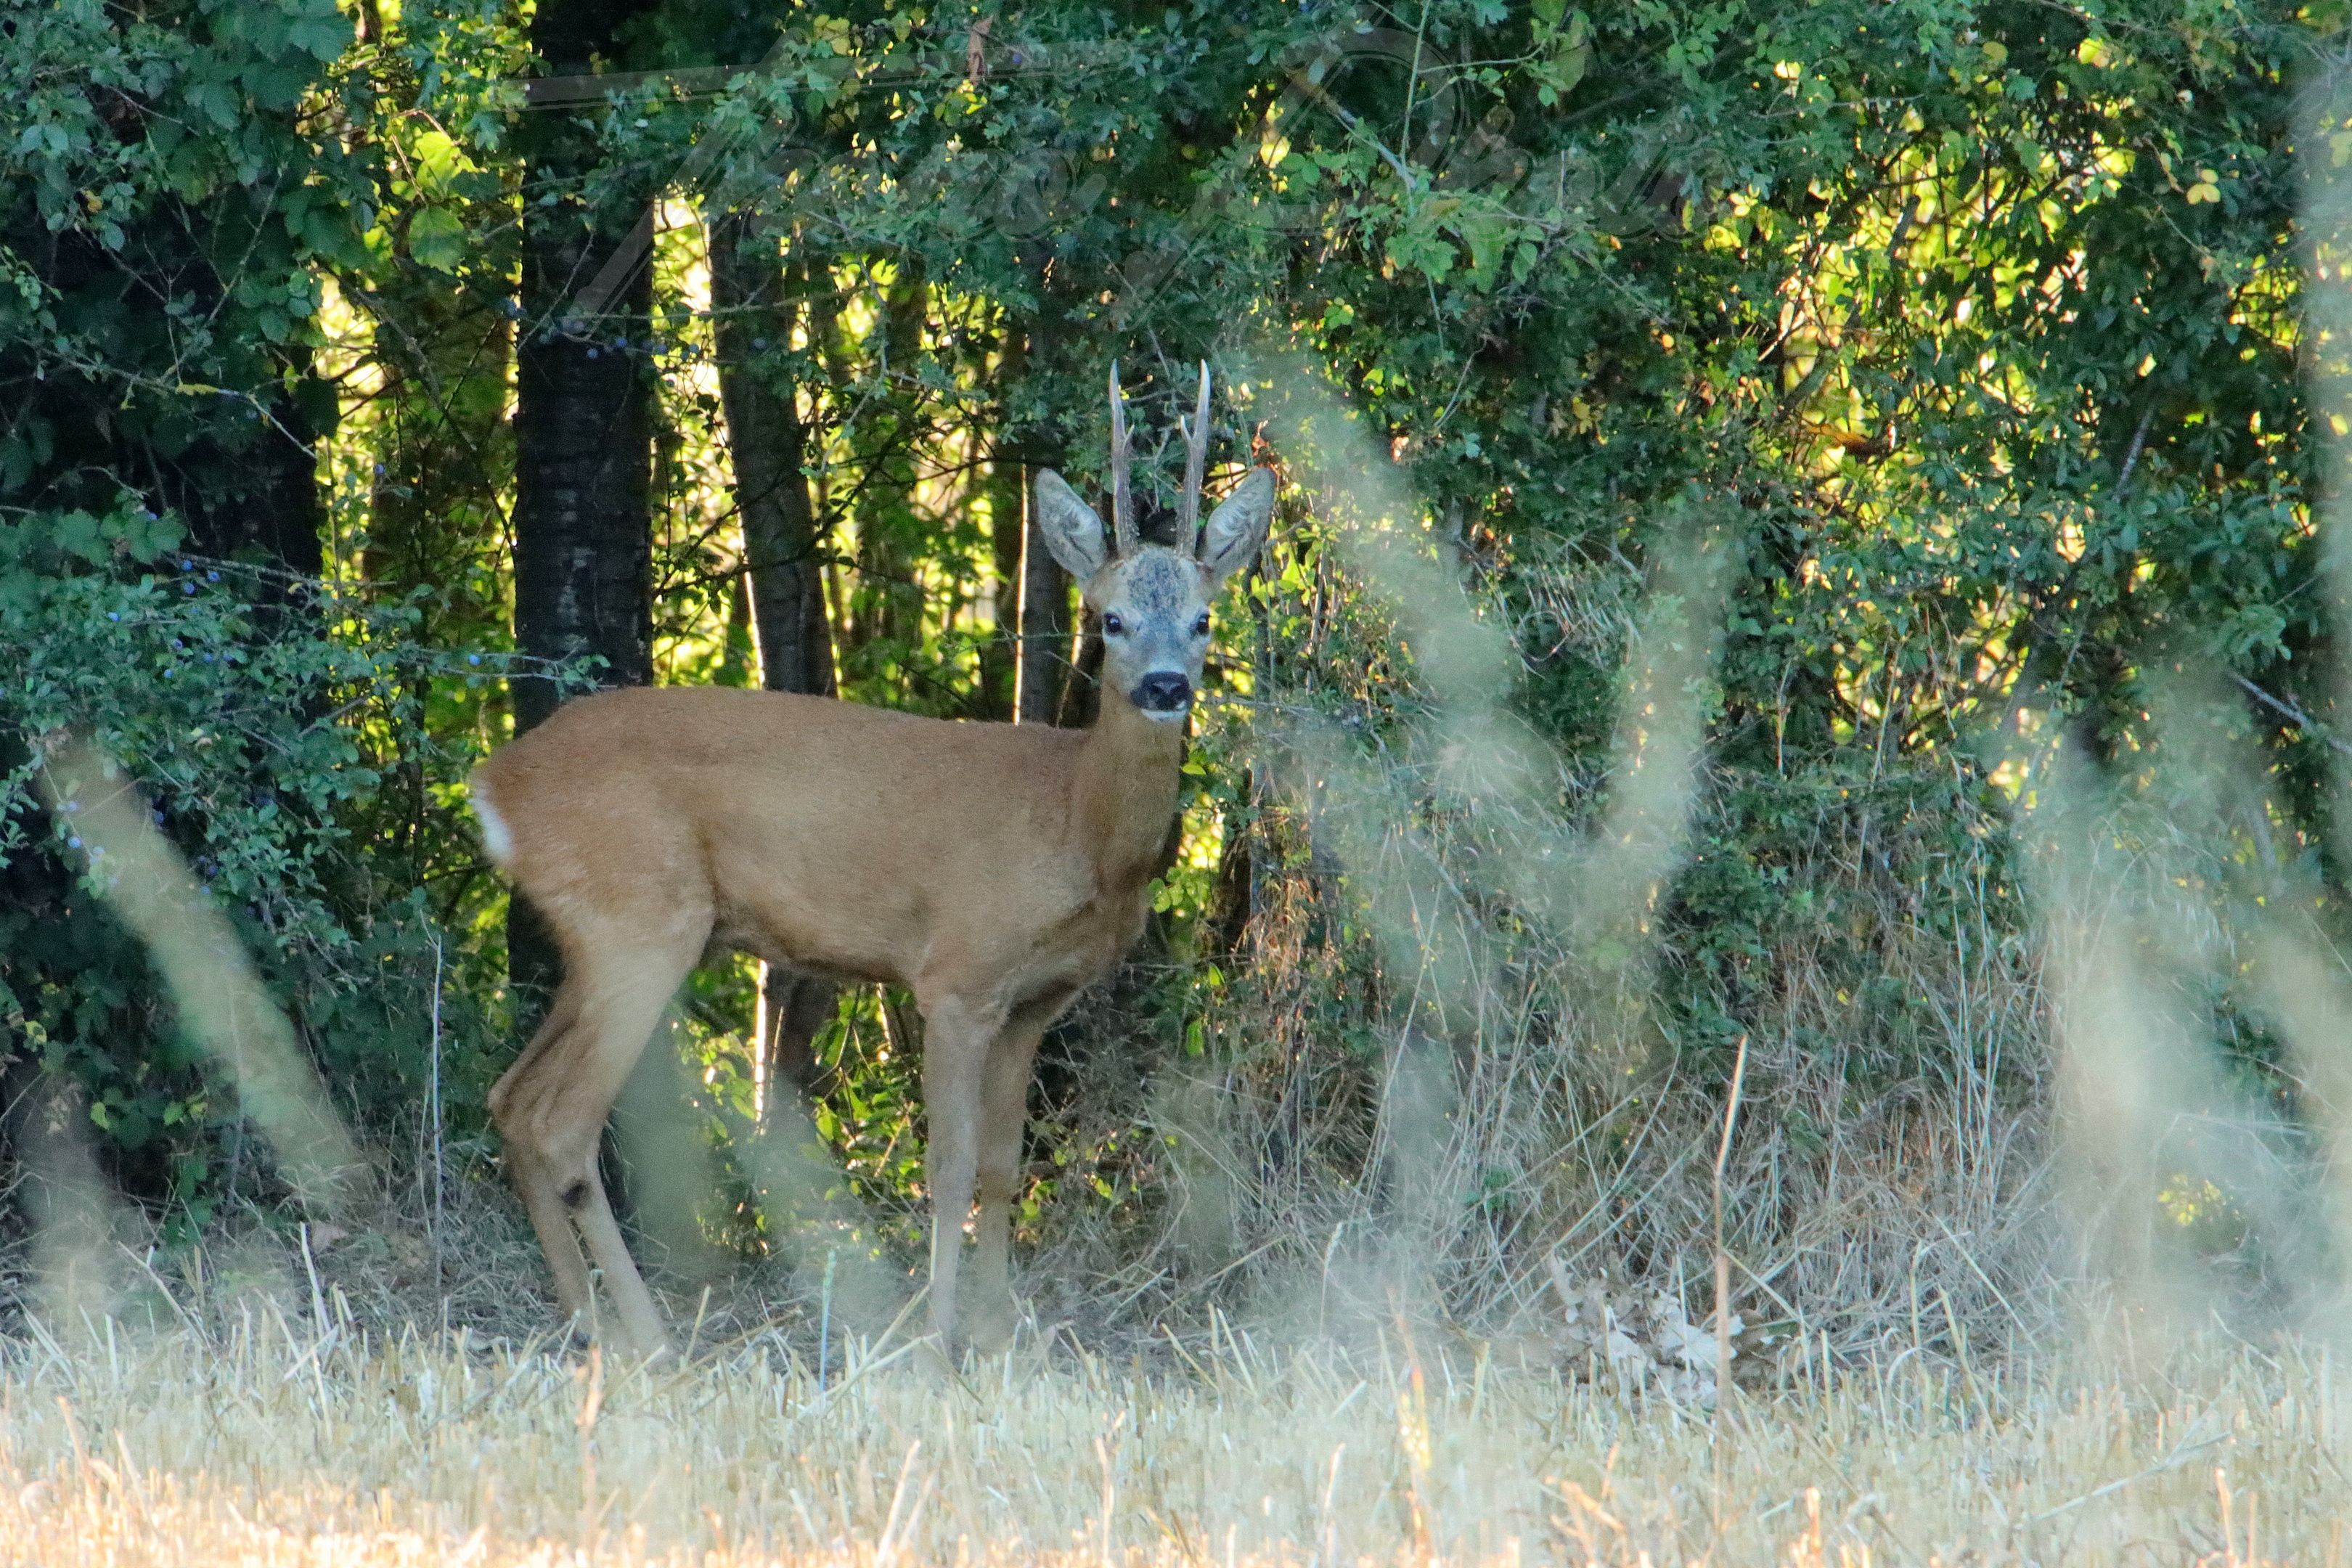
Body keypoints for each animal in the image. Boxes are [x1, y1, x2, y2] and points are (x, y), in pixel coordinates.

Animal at [470, 364, 1279, 1354]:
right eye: (1111, 618)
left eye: (1203, 620)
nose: (1165, 687)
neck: (1076, 830)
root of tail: (494, 786)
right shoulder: (956, 977)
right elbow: (950, 1167)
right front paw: (934, 1342)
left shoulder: (1035, 1003)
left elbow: (1004, 1167)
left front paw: (1000, 1335)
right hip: (641, 924)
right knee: (560, 1123)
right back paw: (652, 1340)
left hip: (595, 940)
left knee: (511, 1100)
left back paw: (590, 1327)